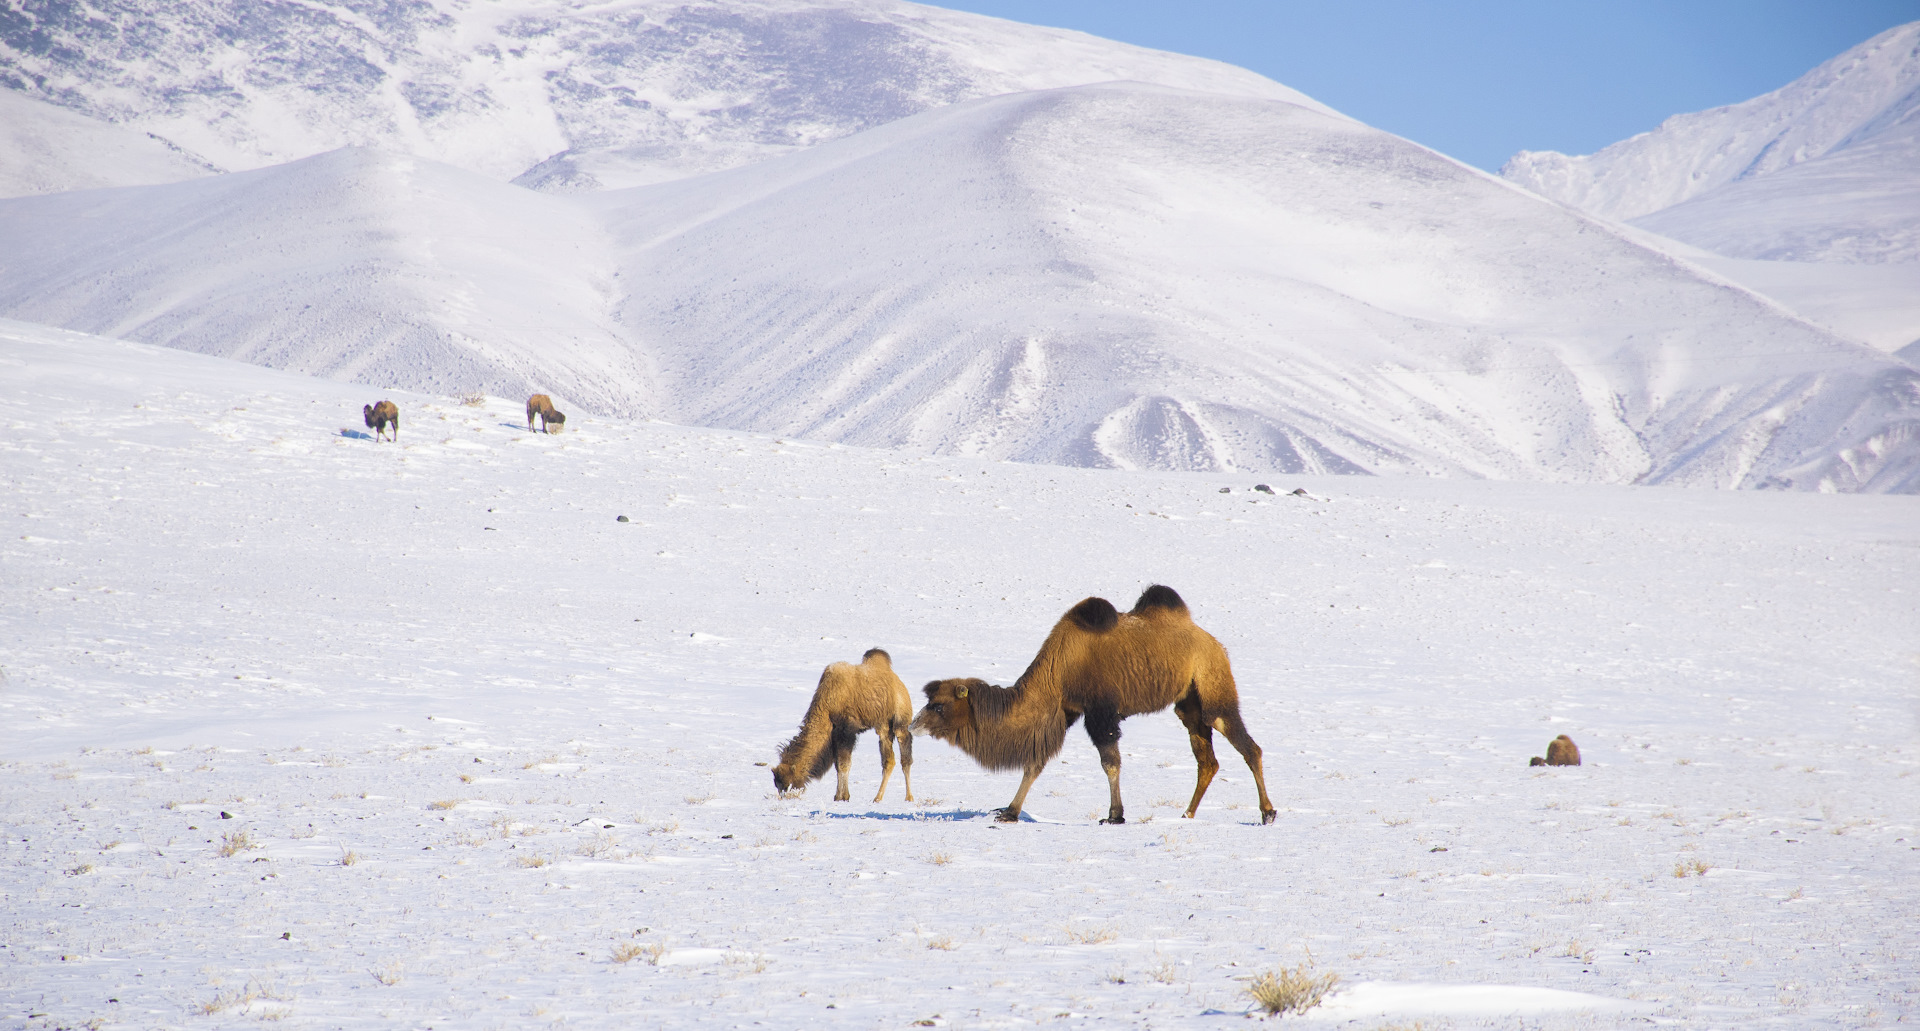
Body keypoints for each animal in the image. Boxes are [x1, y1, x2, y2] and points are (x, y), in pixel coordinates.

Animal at [768, 648, 910, 798]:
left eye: (788, 784)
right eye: (777, 784)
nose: (784, 797)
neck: (827, 705)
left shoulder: (846, 731)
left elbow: (843, 764)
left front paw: (843, 797)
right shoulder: (834, 735)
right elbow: (837, 765)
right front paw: (838, 796)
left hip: (900, 719)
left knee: (904, 756)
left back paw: (908, 797)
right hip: (882, 725)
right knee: (889, 760)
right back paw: (878, 798)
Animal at [910, 583, 1274, 825]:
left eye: (938, 705)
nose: (913, 725)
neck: (1059, 671)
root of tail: (1213, 643)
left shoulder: (1099, 712)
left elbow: (1110, 763)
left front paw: (1114, 816)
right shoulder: (1065, 711)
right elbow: (1034, 763)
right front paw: (1009, 812)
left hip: (1213, 689)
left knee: (1247, 746)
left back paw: (1267, 813)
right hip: (1188, 705)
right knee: (1207, 760)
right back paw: (1187, 813)